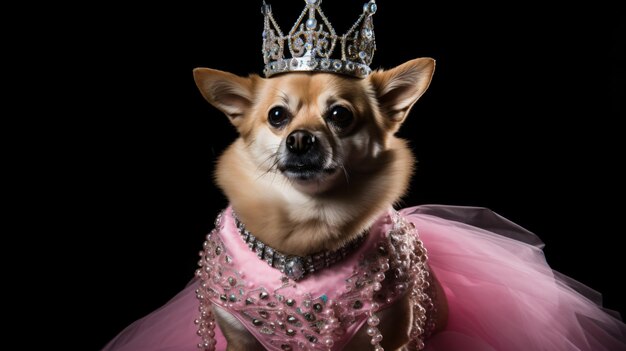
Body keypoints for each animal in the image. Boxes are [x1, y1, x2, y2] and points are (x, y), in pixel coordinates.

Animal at [193, 56, 446, 350]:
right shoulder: (239, 341)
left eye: (340, 114)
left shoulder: (394, 339)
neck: (307, 217)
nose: (300, 139)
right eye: (277, 115)